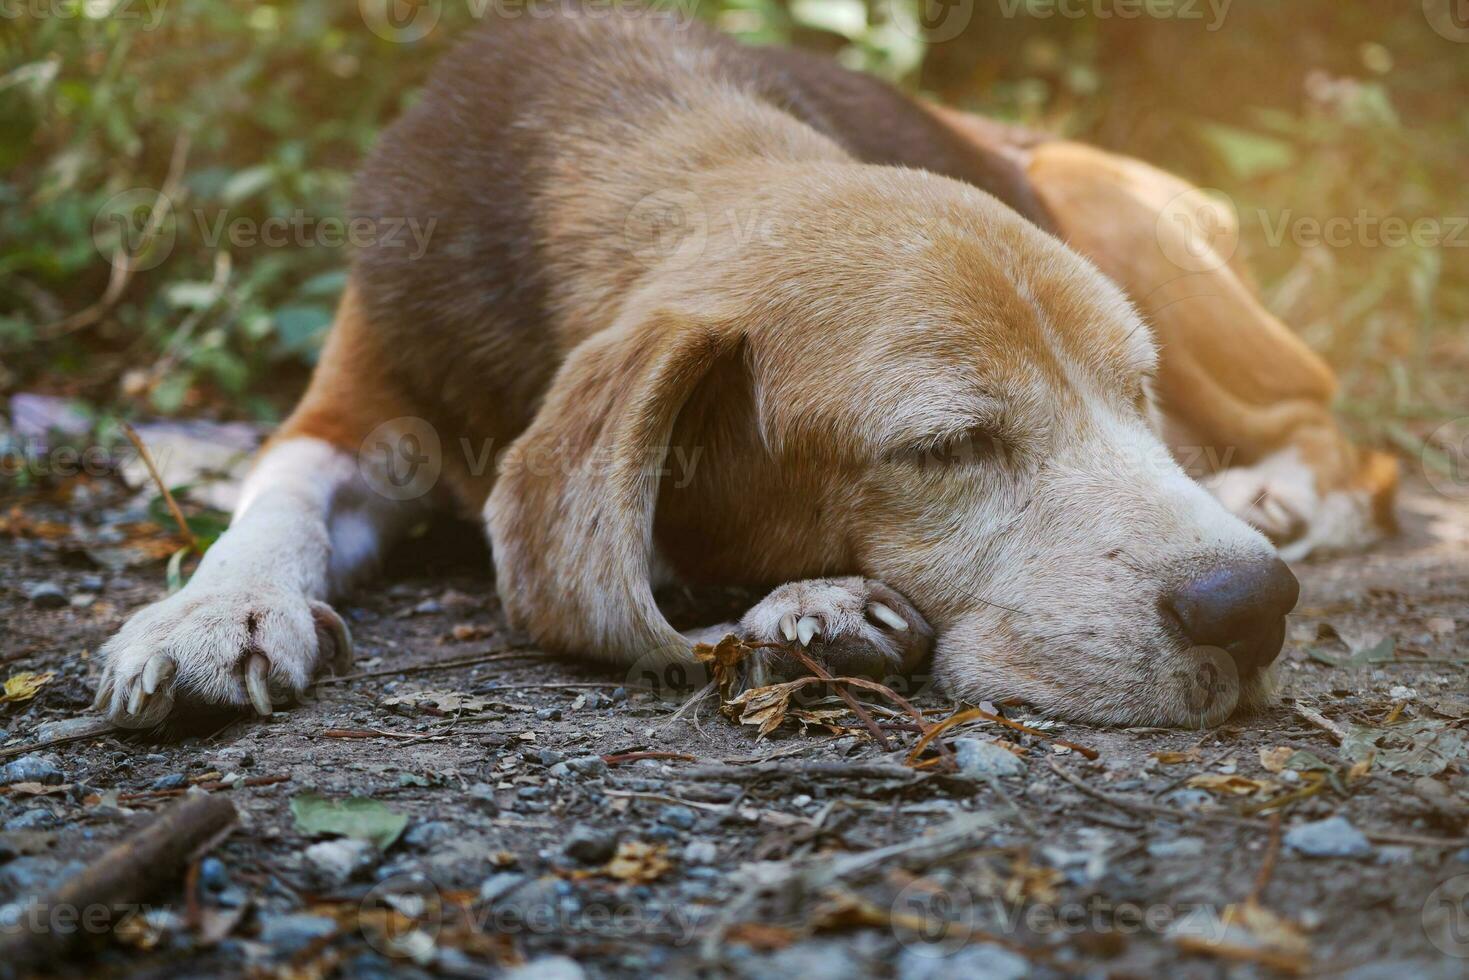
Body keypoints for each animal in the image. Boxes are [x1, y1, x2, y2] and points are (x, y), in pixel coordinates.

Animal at [94, 7, 1333, 728]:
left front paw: (810, 605)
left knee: (1322, 410)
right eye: (944, 447)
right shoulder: (350, 408)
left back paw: (1282, 491)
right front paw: (214, 608)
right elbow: (277, 498)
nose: (1252, 604)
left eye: (1135, 396)